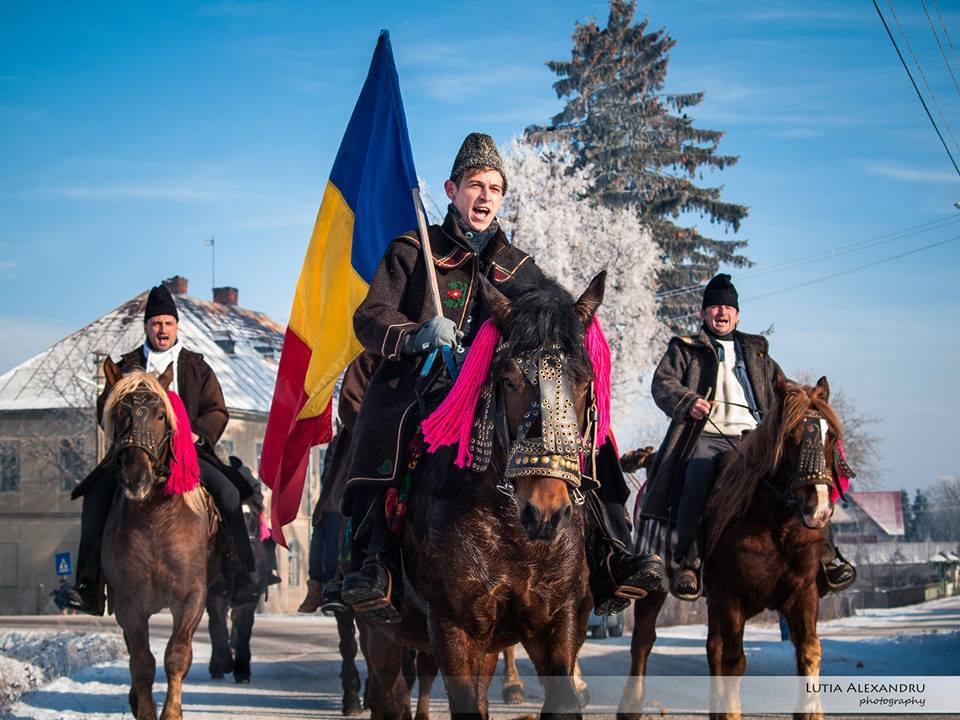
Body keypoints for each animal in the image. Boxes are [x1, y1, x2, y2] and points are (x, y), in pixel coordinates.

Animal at [99, 360, 214, 720]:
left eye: (161, 413)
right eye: (119, 412)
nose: (137, 477)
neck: (154, 521)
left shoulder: (191, 598)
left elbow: (176, 655)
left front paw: (172, 712)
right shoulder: (128, 603)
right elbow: (142, 663)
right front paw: (145, 709)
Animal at [352, 272, 608, 720]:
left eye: (583, 378)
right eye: (508, 379)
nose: (545, 511)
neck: (512, 533)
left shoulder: (558, 620)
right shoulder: (452, 626)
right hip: (380, 634)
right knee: (390, 697)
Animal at [620, 374, 844, 716]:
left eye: (829, 436)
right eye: (790, 436)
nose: (817, 508)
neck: (775, 523)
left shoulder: (803, 592)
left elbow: (808, 651)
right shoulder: (732, 596)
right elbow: (734, 662)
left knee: (712, 647)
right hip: (657, 586)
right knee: (643, 642)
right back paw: (631, 705)